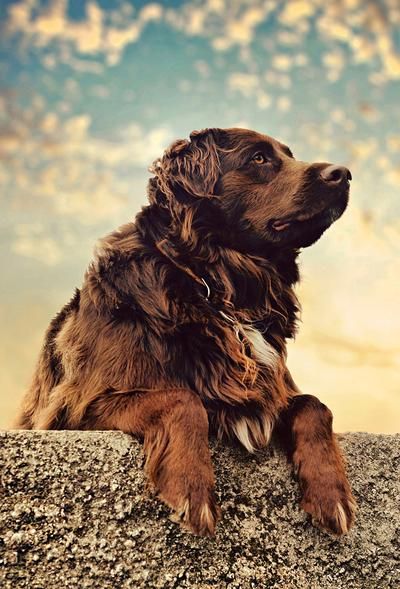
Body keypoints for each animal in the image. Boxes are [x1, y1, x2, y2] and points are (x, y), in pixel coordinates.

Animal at [17, 129, 356, 536]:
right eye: (258, 158)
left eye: (289, 155)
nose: (344, 174)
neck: (219, 285)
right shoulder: (74, 407)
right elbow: (182, 399)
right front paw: (191, 488)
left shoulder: (270, 387)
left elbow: (314, 404)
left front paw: (331, 492)